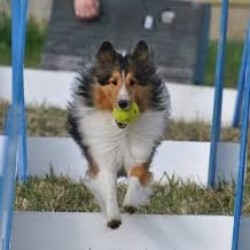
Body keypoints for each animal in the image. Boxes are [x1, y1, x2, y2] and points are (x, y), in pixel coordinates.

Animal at [67, 40, 171, 229]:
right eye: (113, 82)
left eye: (133, 82)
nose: (123, 103)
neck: (122, 131)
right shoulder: (103, 160)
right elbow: (109, 190)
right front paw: (114, 218)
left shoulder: (139, 156)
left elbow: (136, 178)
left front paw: (129, 203)